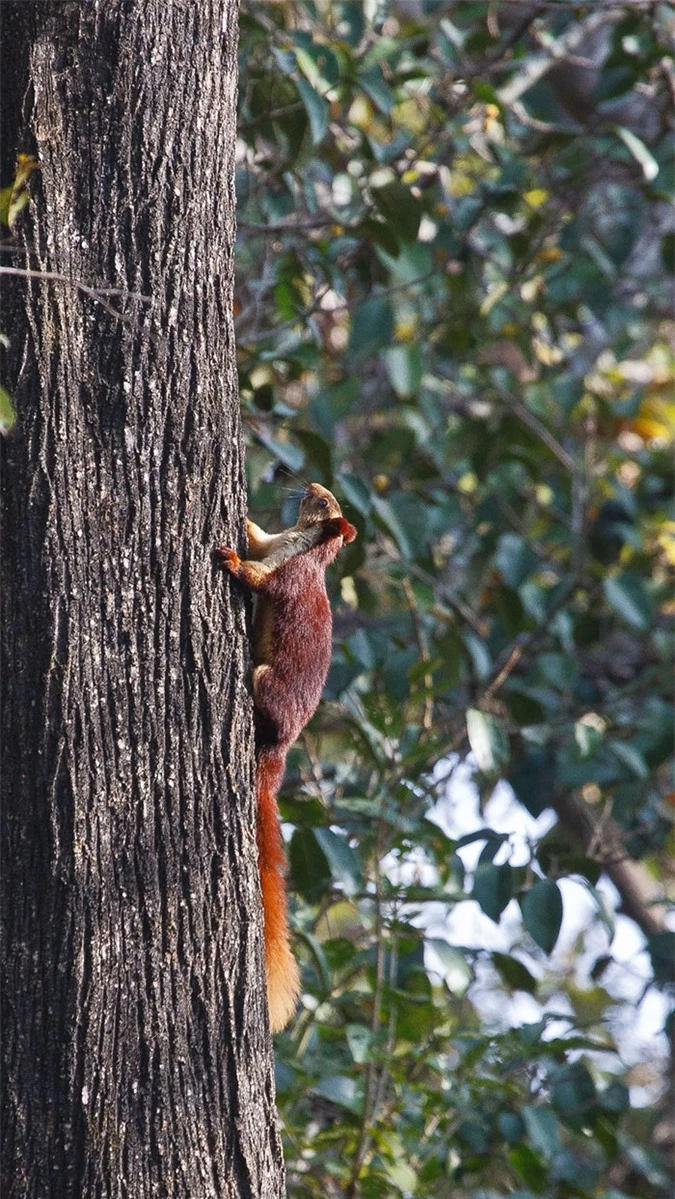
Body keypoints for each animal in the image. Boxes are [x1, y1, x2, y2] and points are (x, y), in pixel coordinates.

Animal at [215, 481, 359, 1026]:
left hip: (267, 686)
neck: (300, 545)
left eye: (327, 505)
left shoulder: (289, 578)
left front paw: (230, 559)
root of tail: (276, 754)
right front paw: (245, 520)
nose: (314, 486)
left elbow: (260, 579)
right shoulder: (274, 544)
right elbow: (258, 537)